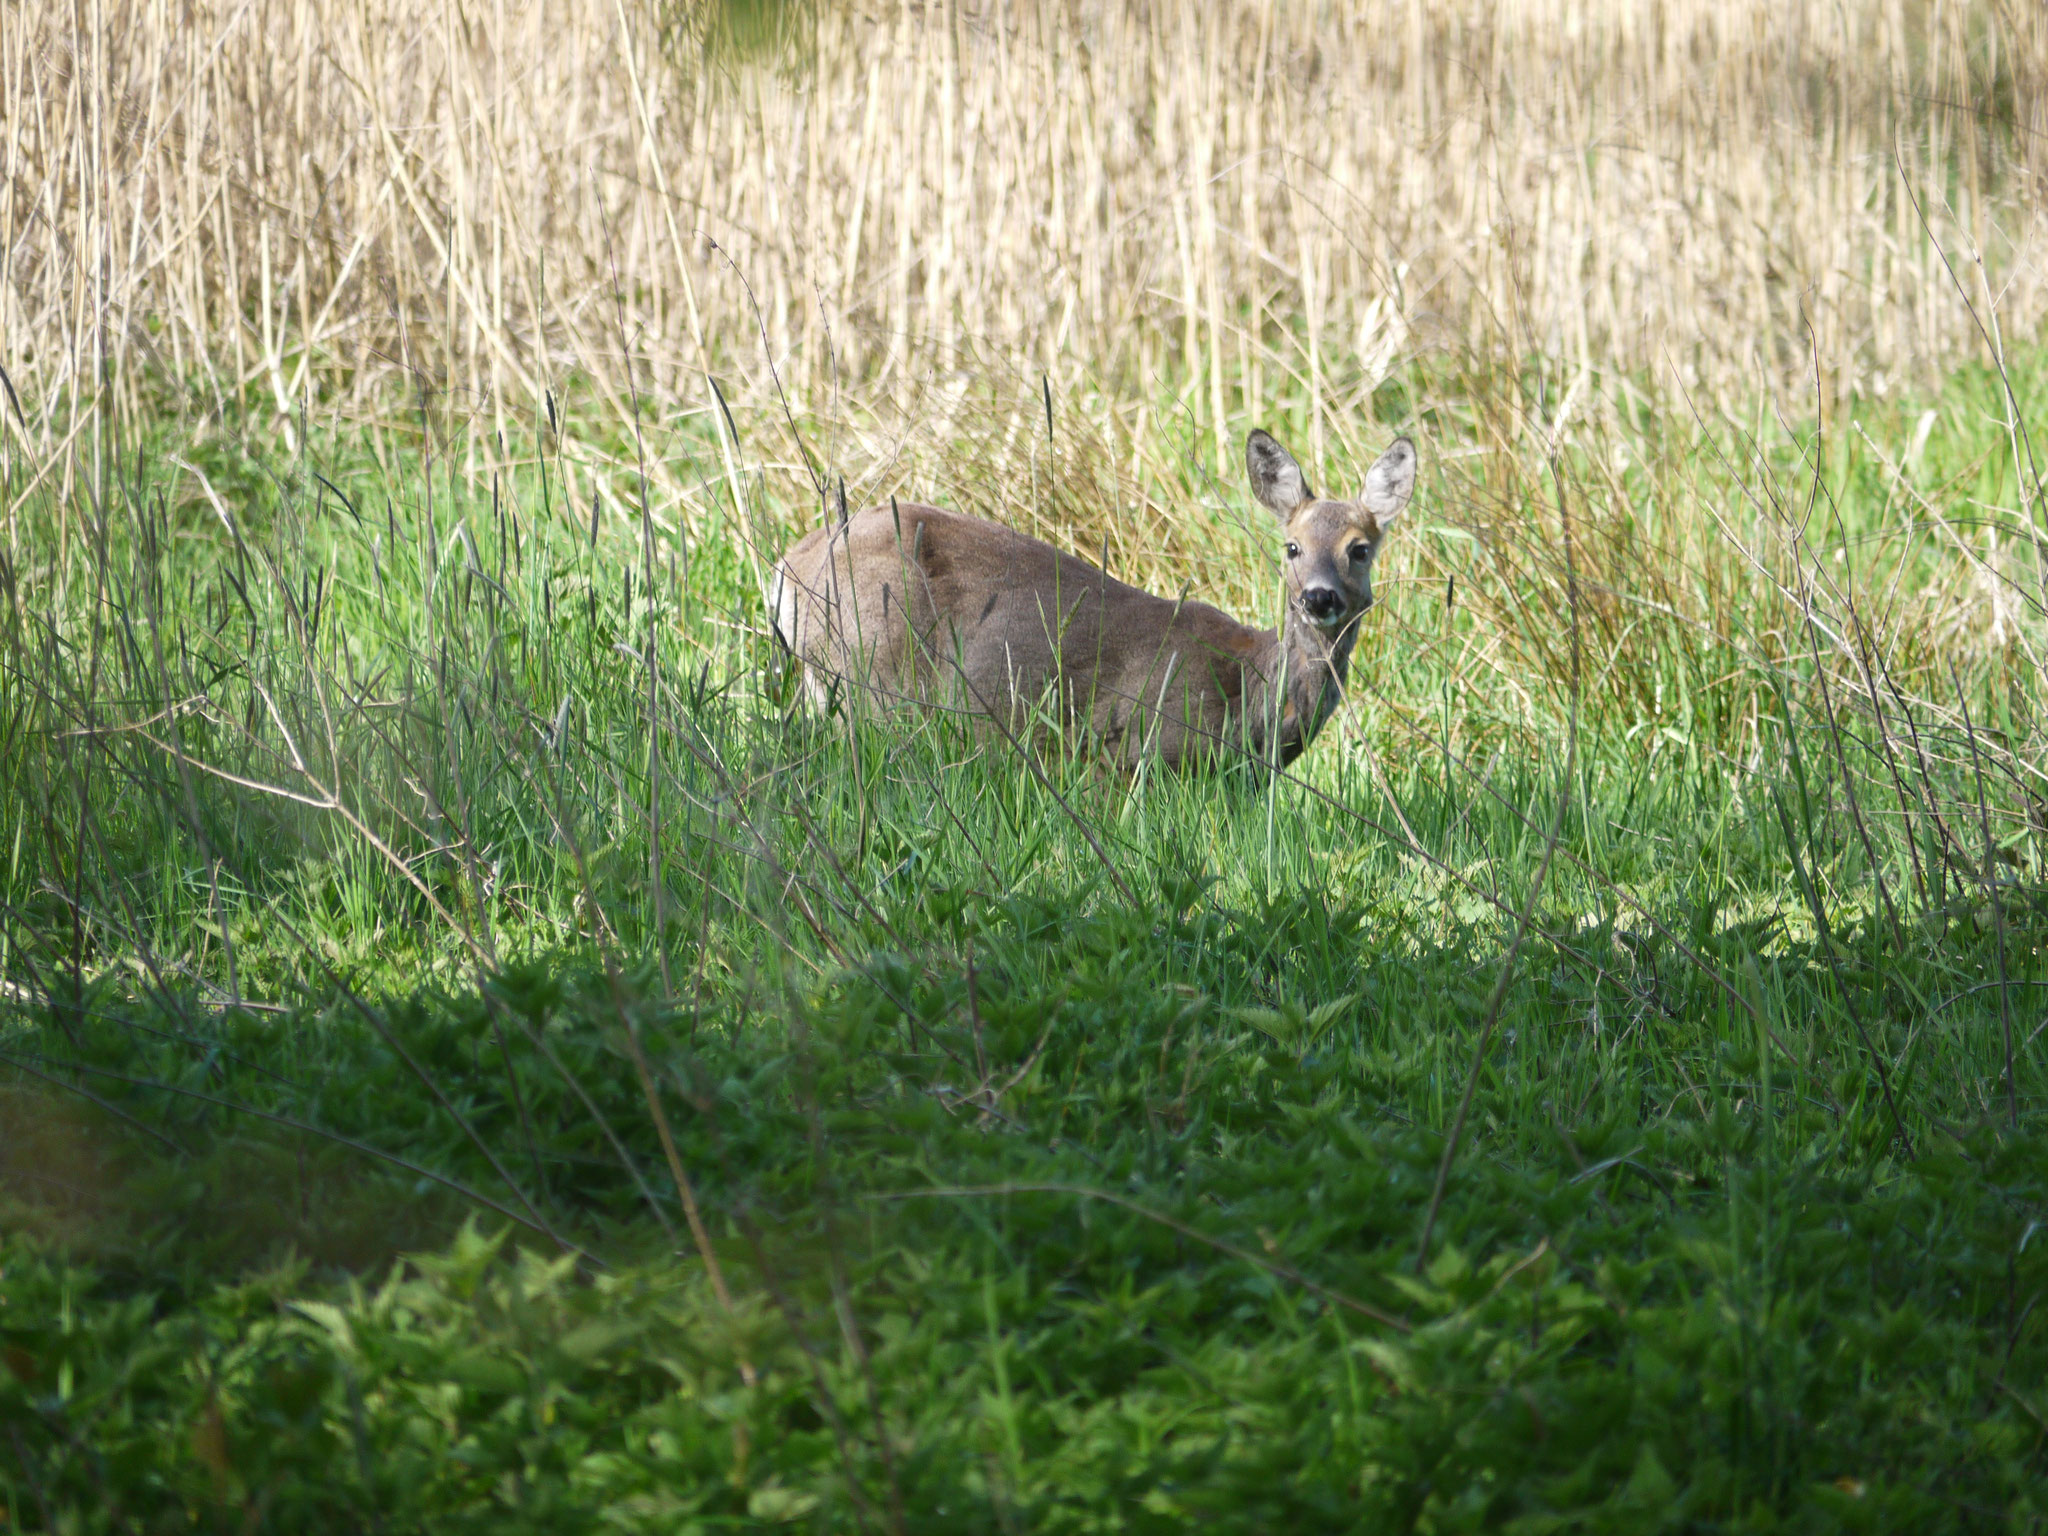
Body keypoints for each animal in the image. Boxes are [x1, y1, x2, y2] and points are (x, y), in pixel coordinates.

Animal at [766, 429, 1416, 770]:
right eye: (1291, 546)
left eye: (1360, 548)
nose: (1319, 597)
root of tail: (788, 568)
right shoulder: (1129, 756)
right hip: (867, 677)